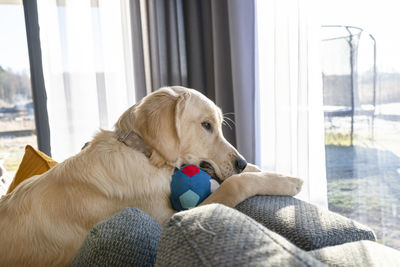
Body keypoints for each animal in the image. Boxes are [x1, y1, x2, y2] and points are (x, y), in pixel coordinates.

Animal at [0, 87, 302, 266]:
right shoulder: (167, 219)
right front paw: (286, 180)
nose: (241, 162)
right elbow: (235, 184)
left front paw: (258, 168)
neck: (143, 153)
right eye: (206, 125)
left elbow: (230, 178)